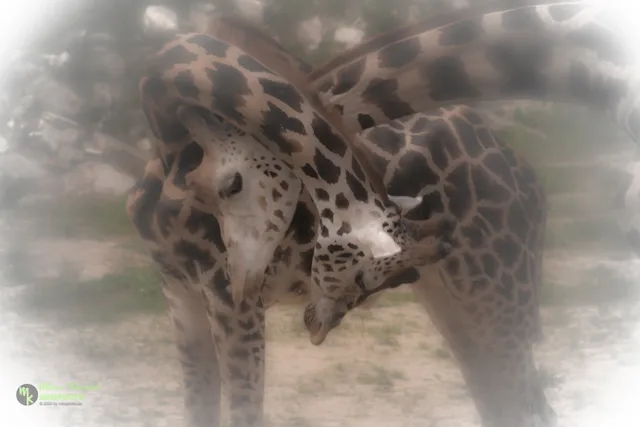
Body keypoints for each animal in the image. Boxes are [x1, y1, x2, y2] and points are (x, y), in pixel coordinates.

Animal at [125, 2, 640, 427]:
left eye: (230, 185)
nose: (314, 324)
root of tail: (528, 178)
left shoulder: (226, 306)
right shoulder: (182, 291)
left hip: (497, 296)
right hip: (459, 306)